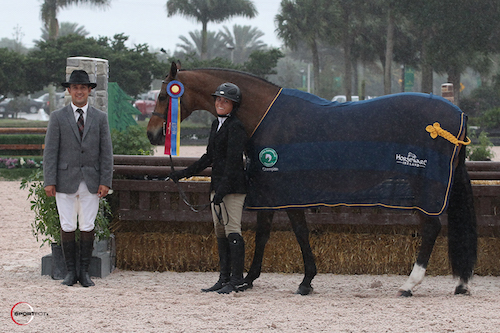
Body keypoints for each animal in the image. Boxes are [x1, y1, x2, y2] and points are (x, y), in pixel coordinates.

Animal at [147, 62, 476, 296]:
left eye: (164, 95)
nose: (153, 134)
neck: (265, 115)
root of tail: (458, 113)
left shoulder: (289, 192)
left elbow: (300, 233)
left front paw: (306, 281)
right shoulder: (269, 189)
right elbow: (263, 233)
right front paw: (248, 279)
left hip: (424, 189)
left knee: (431, 228)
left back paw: (410, 285)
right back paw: (459, 284)